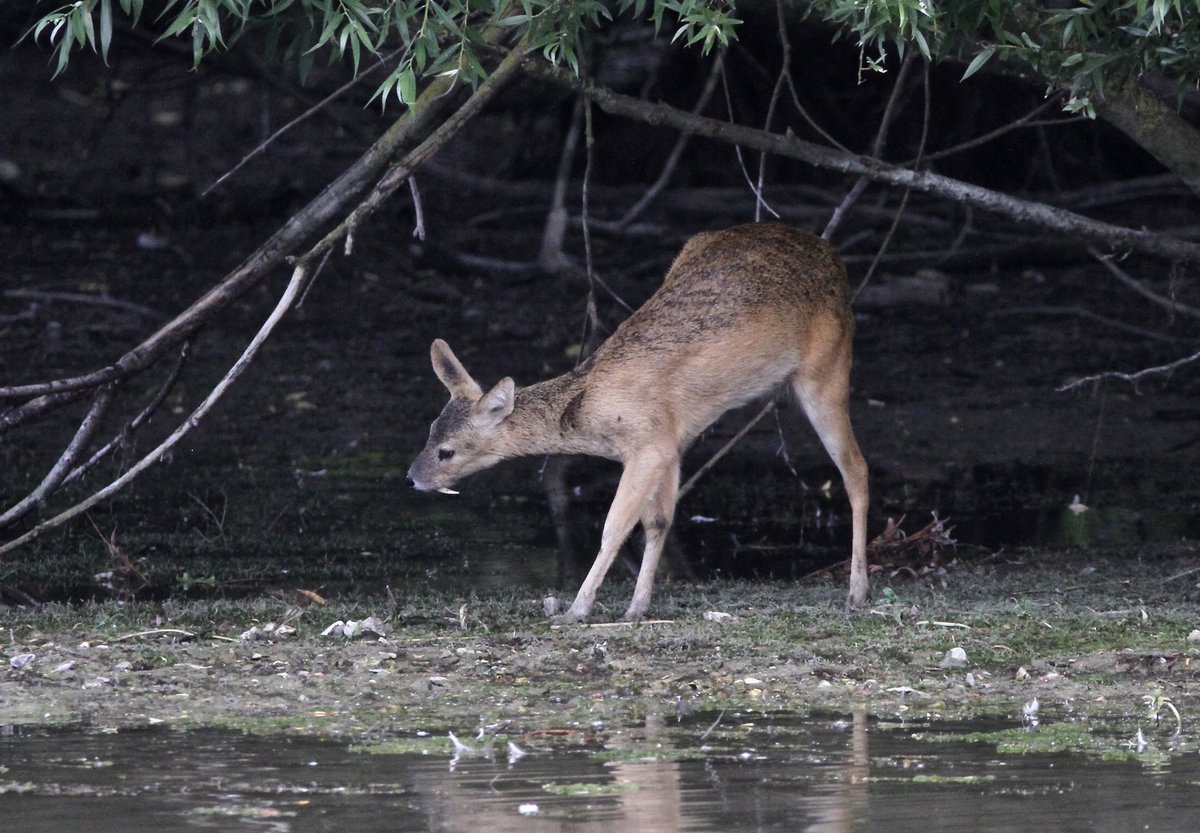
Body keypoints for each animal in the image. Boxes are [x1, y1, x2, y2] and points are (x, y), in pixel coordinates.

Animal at [408, 225, 868, 624]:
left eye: (448, 451)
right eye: (429, 432)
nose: (412, 478)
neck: (590, 414)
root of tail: (832, 254)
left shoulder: (650, 444)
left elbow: (614, 527)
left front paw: (577, 611)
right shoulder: (670, 440)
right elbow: (657, 521)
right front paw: (637, 607)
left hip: (827, 366)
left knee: (857, 470)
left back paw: (857, 591)